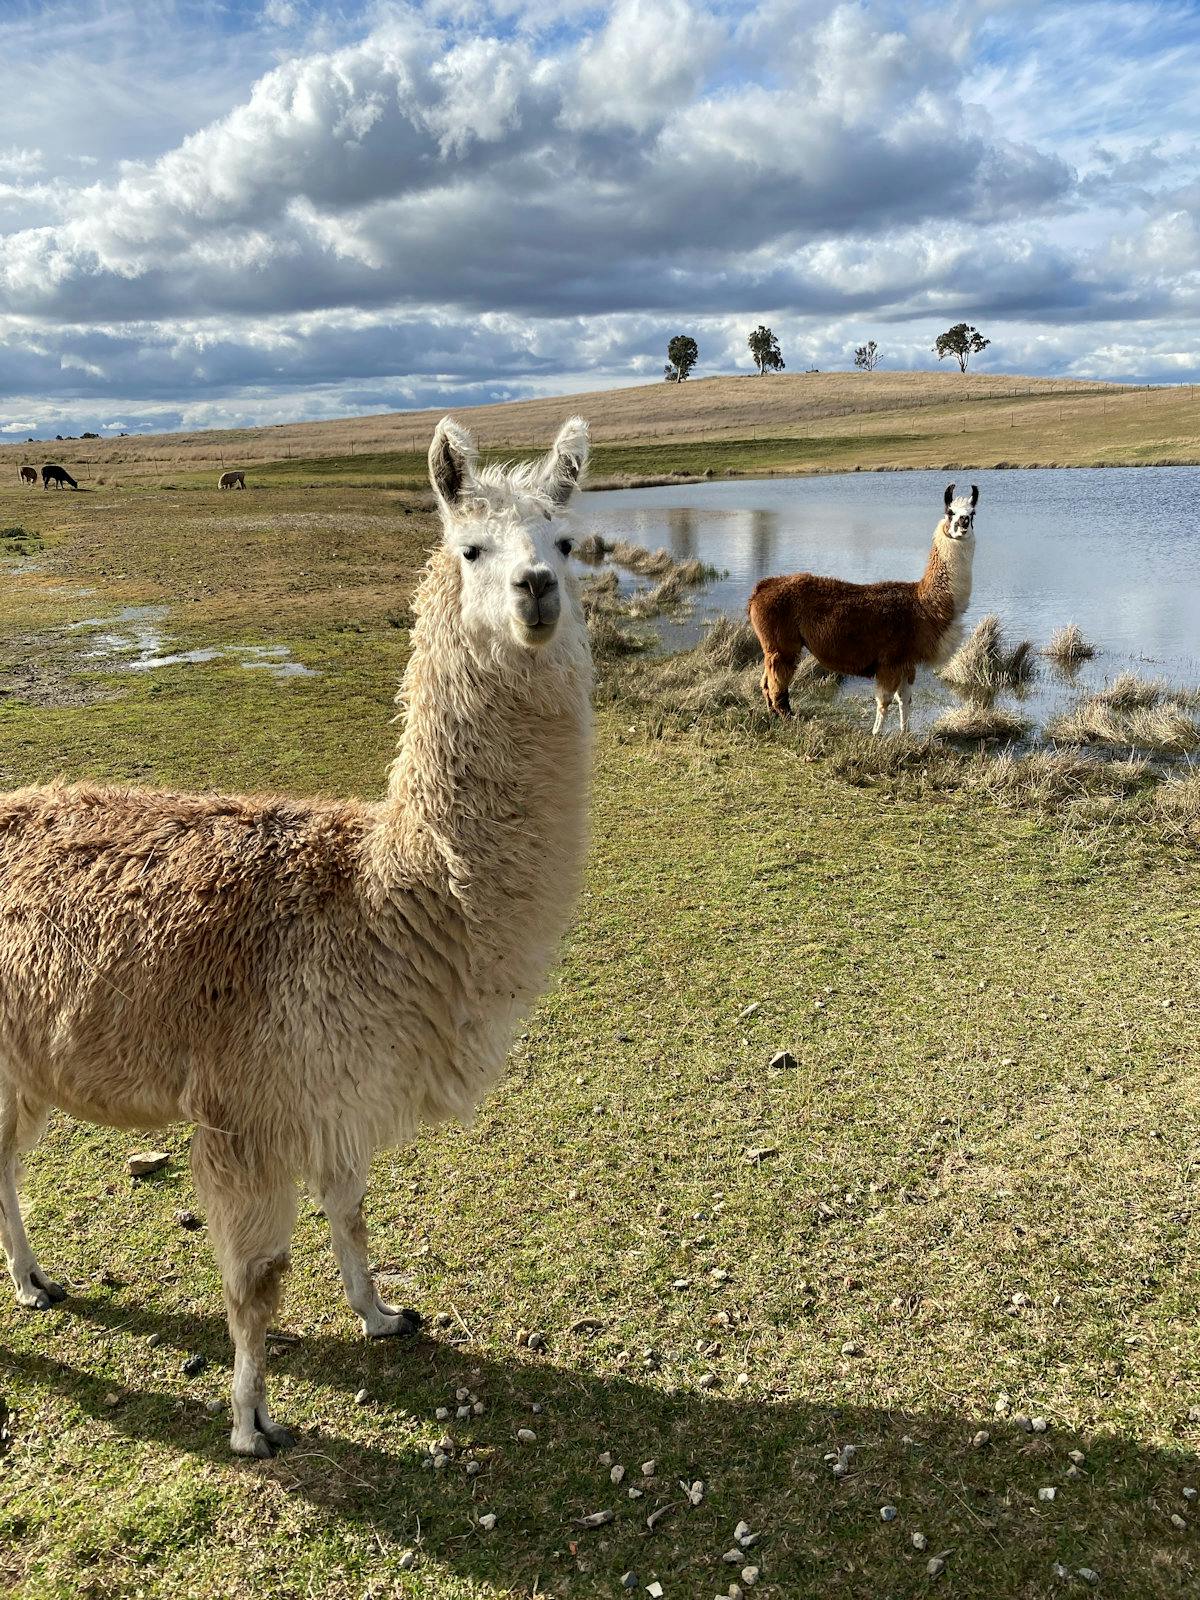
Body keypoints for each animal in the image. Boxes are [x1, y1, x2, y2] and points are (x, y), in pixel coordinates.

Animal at [0, 416, 593, 1458]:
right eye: (468, 548)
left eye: (567, 542)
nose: (536, 590)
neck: (380, 900)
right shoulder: (248, 1105)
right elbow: (256, 1282)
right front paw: (251, 1422)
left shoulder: (336, 1088)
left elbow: (350, 1213)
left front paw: (383, 1314)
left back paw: (35, 1283)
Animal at [748, 483, 979, 733]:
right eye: (950, 512)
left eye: (973, 513)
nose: (963, 522)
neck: (923, 603)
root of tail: (761, 587)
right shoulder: (890, 659)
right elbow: (884, 701)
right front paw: (876, 734)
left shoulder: (907, 661)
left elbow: (905, 699)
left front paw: (905, 734)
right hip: (782, 643)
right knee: (777, 684)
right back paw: (789, 719)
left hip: (773, 645)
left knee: (765, 682)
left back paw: (774, 716)